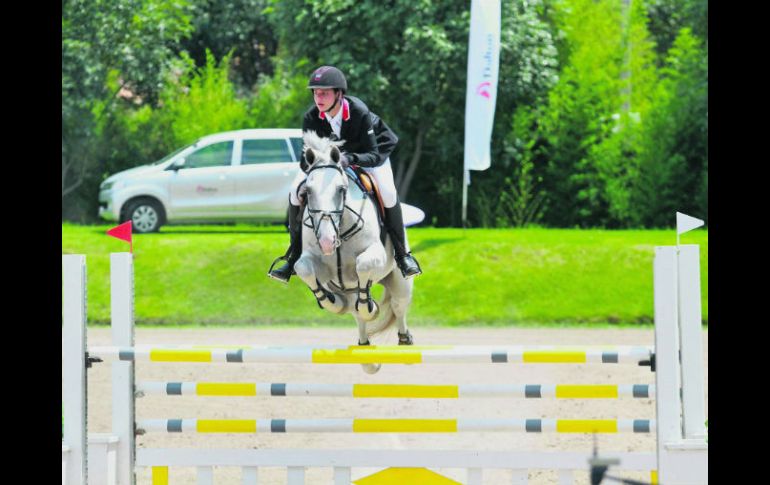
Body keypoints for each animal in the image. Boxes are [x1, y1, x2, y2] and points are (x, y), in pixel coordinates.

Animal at [293, 131, 414, 374]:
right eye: (307, 192)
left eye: (341, 189)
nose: (327, 242)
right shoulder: (321, 267)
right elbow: (302, 268)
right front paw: (332, 303)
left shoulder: (376, 255)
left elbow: (363, 265)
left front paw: (371, 308)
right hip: (346, 287)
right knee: (355, 310)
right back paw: (366, 355)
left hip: (400, 281)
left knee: (397, 306)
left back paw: (405, 344)